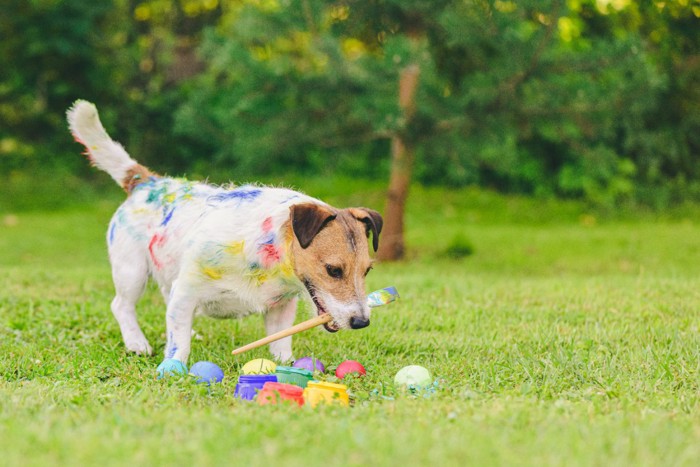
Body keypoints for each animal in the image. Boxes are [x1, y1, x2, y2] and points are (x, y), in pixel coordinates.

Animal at [67, 99, 382, 366]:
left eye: (367, 271)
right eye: (333, 270)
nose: (361, 322)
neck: (269, 256)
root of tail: (147, 181)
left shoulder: (281, 307)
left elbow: (280, 343)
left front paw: (288, 366)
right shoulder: (187, 288)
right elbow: (178, 343)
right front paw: (174, 367)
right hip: (131, 271)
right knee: (122, 305)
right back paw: (136, 343)